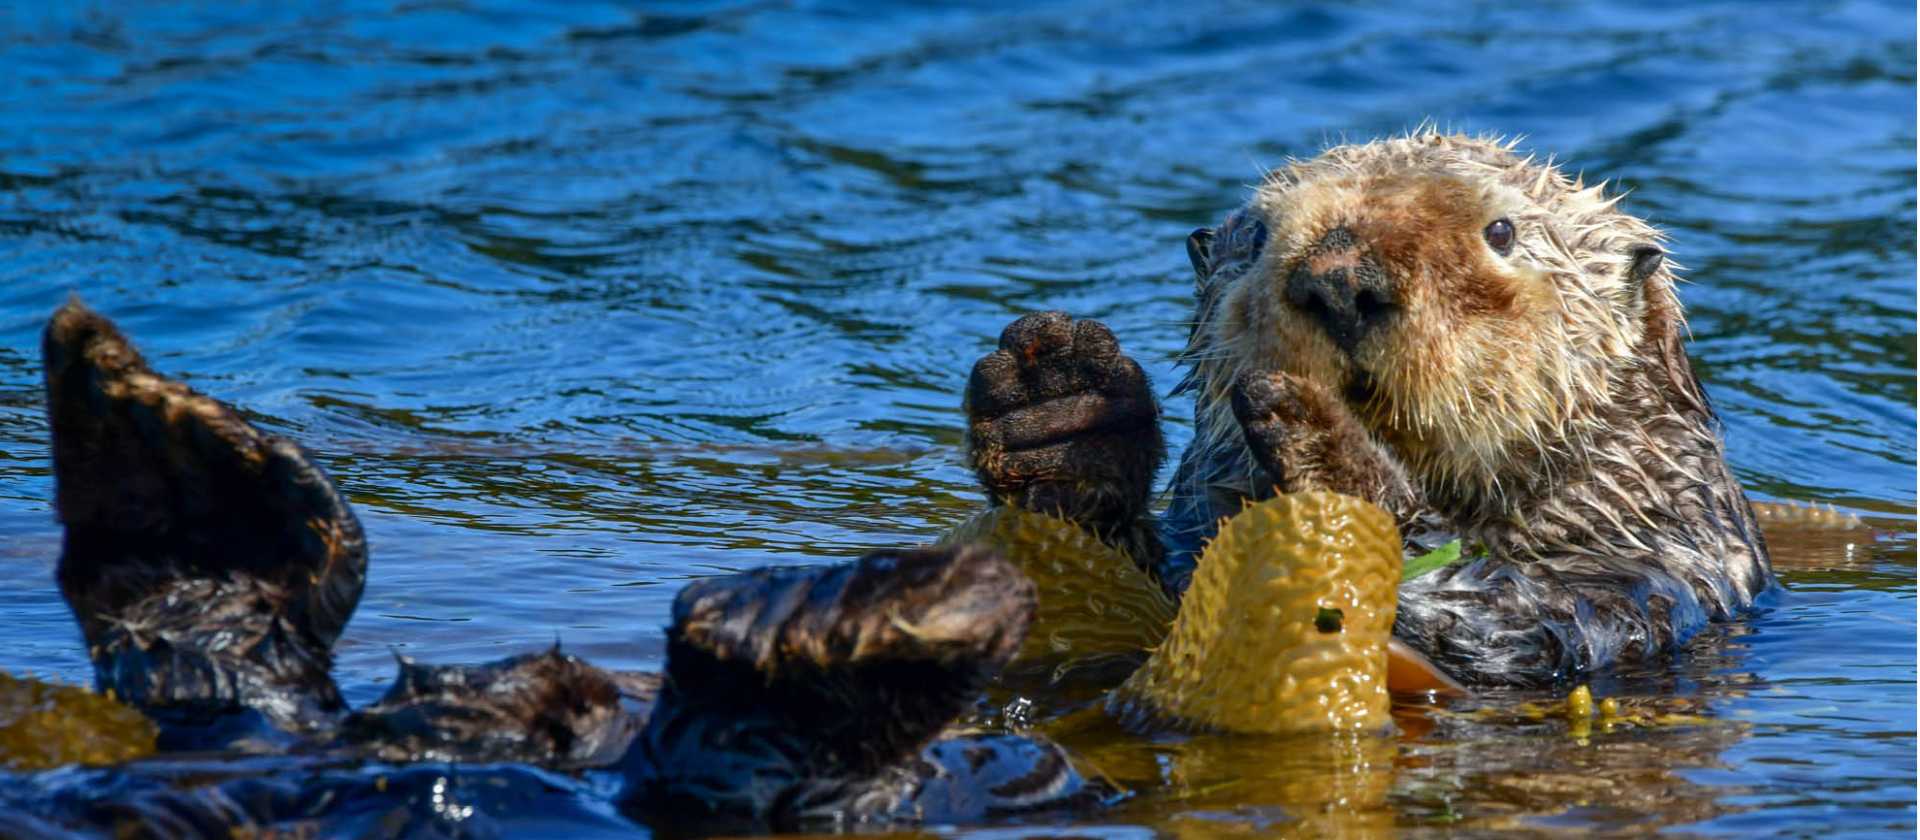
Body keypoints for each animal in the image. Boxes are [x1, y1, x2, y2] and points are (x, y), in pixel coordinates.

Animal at [964, 131, 1775, 687]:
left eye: (1503, 231)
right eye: (1255, 235)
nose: (1340, 279)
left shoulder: (1652, 564)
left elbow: (1515, 619)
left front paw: (1327, 451)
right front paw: (1066, 404)